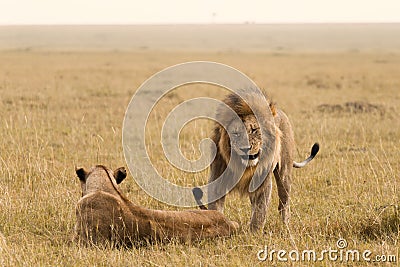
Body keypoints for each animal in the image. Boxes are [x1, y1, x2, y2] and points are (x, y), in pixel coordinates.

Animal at [206, 90, 318, 232]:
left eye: (254, 130)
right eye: (236, 133)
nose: (245, 148)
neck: (244, 166)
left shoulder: (263, 181)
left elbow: (260, 210)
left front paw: (254, 233)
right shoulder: (218, 177)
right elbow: (215, 207)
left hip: (285, 173)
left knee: (284, 202)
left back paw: (285, 226)